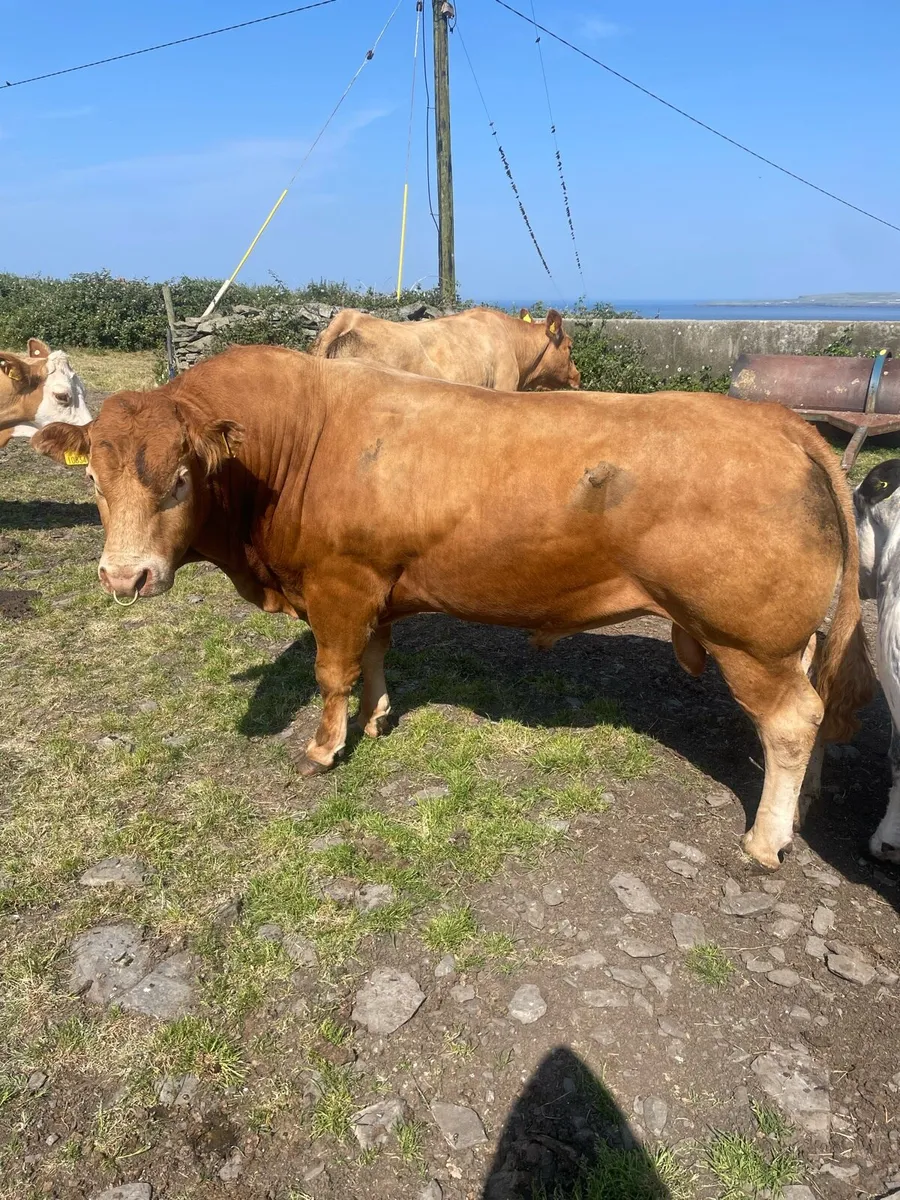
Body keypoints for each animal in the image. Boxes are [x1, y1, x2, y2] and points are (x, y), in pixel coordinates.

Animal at [33, 345, 874, 871]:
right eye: (94, 481)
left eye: (178, 479)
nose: (123, 578)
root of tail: (778, 420)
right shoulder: (372, 586)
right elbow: (373, 656)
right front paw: (376, 717)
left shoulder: (338, 582)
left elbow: (331, 672)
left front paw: (324, 747)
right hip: (786, 641)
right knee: (813, 704)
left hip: (750, 640)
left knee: (792, 719)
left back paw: (765, 839)